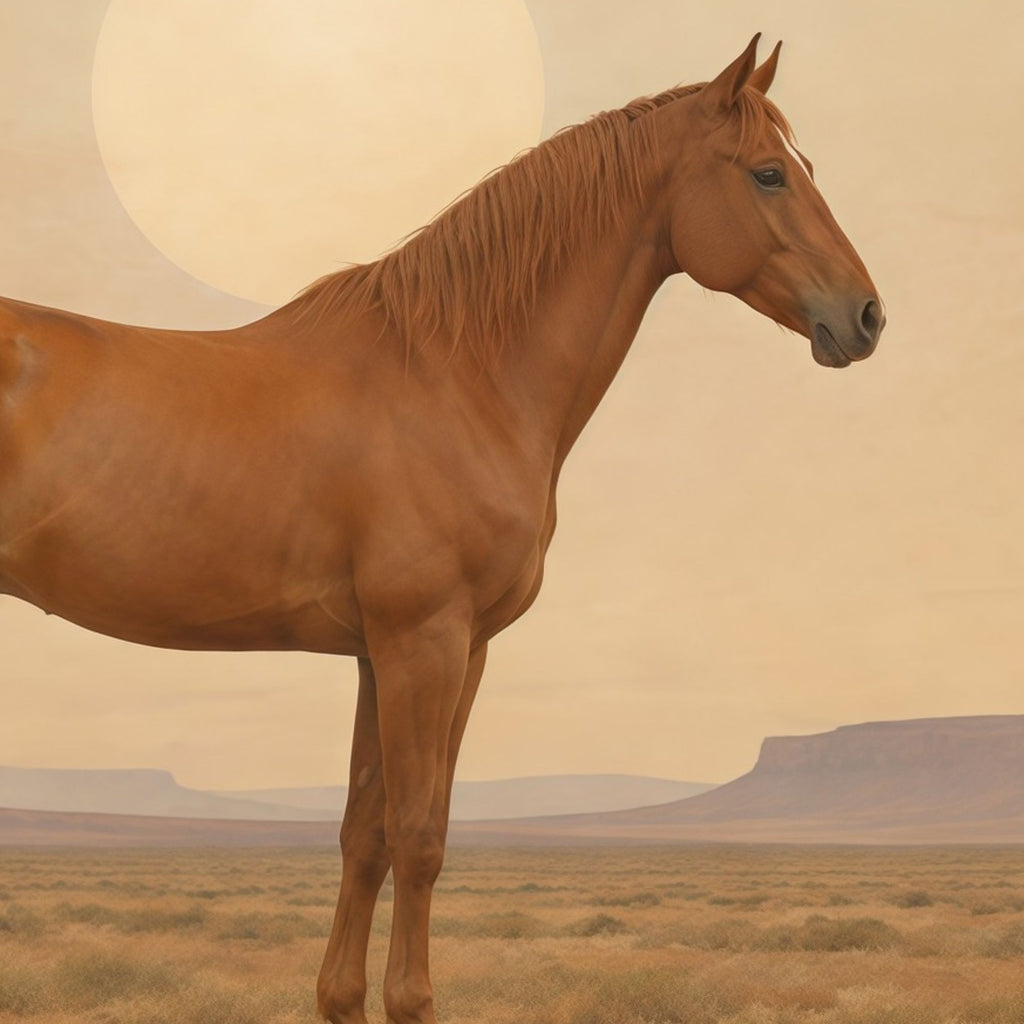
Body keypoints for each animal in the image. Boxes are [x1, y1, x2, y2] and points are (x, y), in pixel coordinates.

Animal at [0, 34, 883, 1024]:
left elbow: (366, 834)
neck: (456, 374)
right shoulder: (426, 642)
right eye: (769, 173)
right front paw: (412, 999)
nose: (866, 315)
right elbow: (419, 836)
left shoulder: (402, 653)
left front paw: (343, 996)